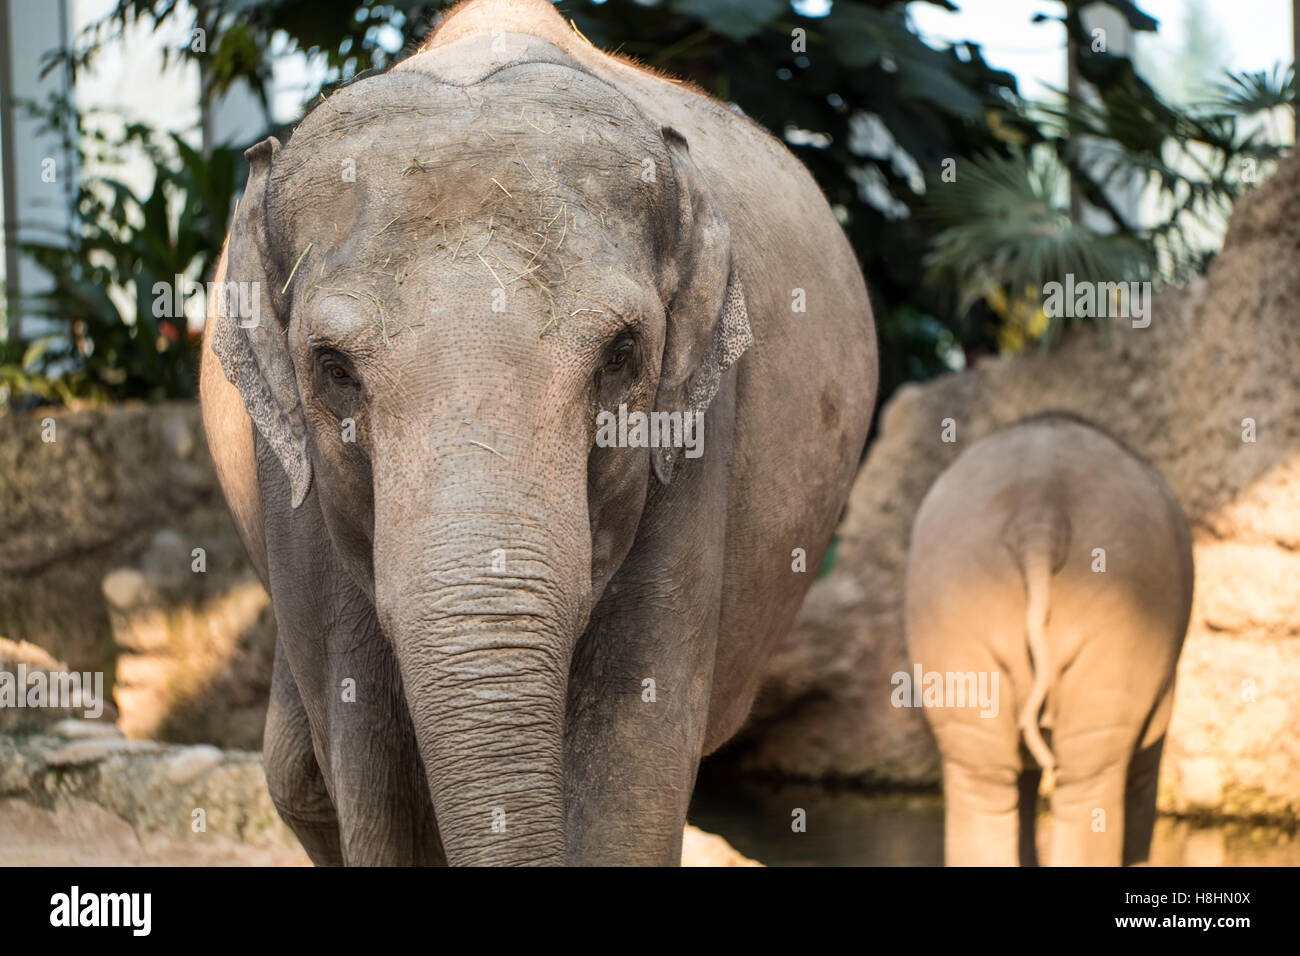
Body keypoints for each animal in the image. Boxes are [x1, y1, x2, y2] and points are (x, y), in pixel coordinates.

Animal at [200, 0, 873, 868]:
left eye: (621, 355)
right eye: (333, 368)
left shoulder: (694, 449)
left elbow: (631, 762)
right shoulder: (292, 490)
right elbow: (370, 772)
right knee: (299, 781)